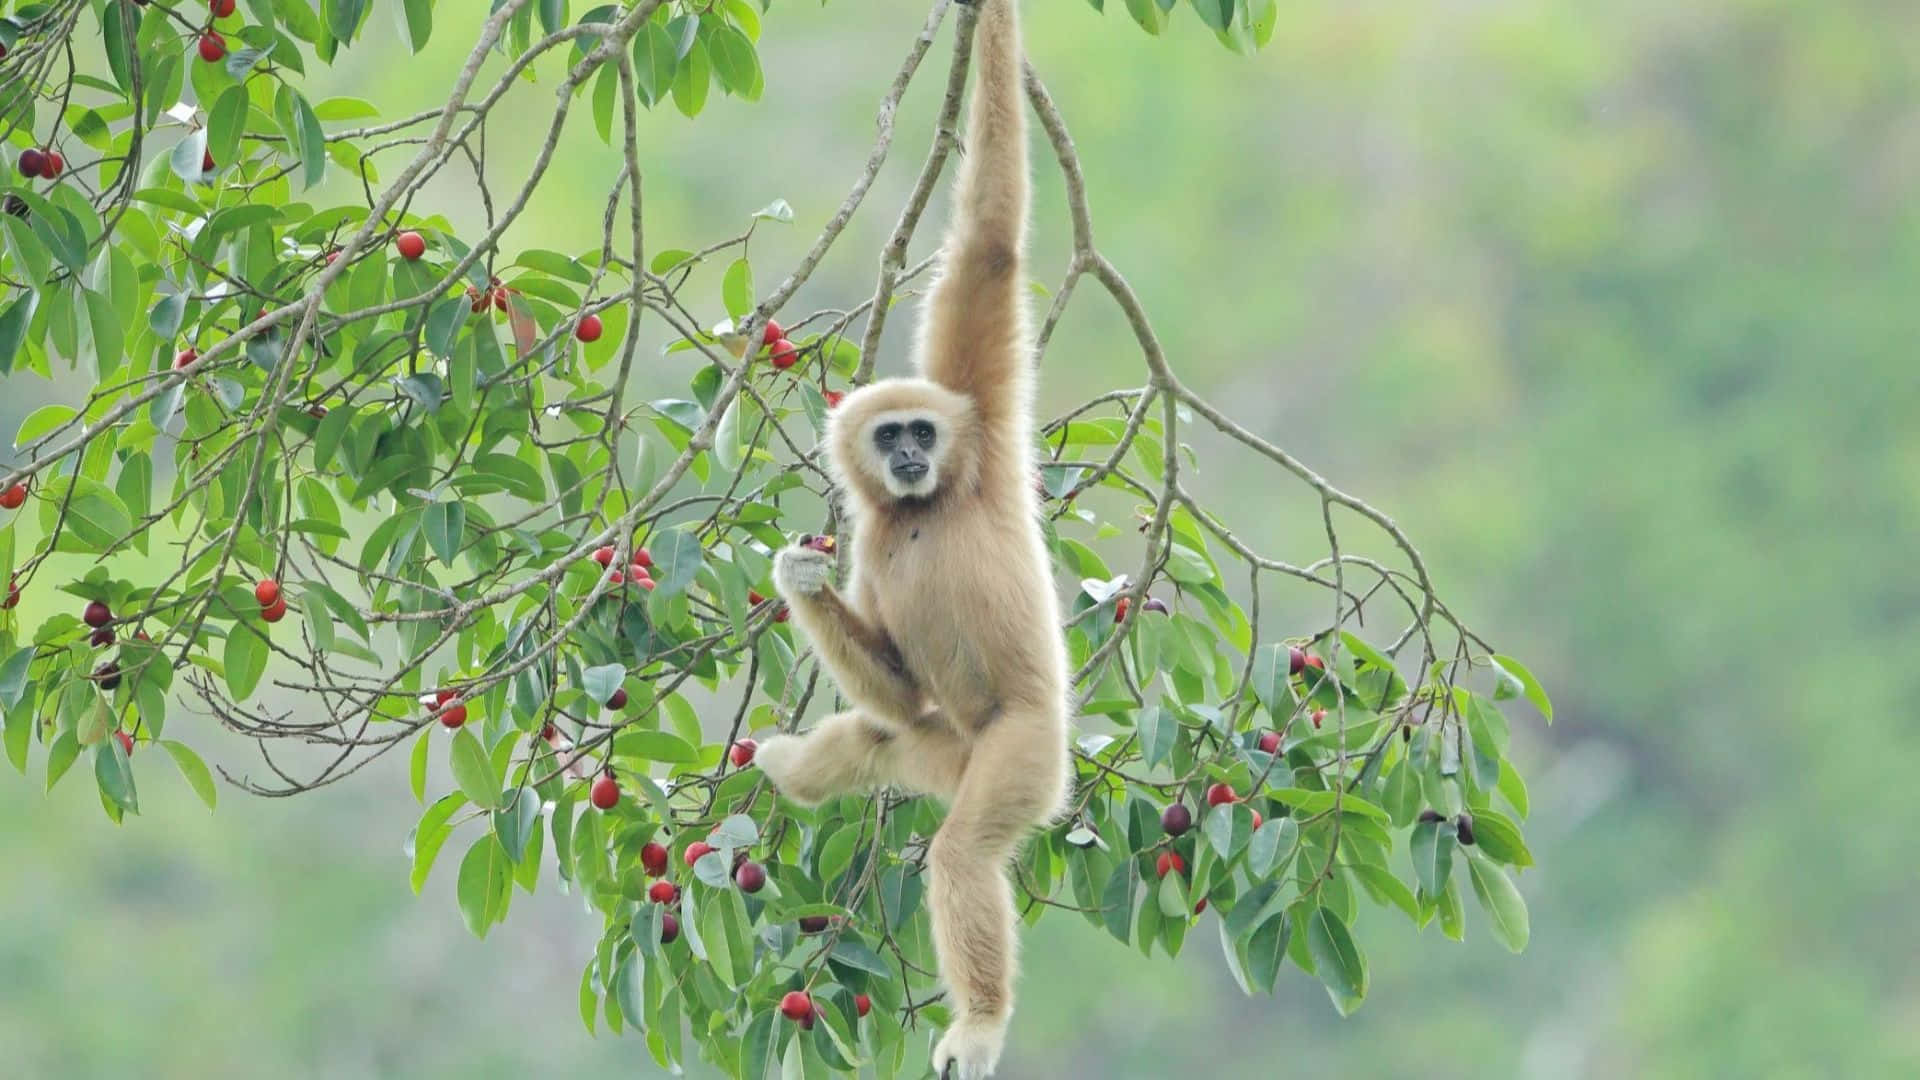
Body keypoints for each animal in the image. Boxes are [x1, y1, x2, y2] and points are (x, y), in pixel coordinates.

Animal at [752, 2, 1064, 1077]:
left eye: (921, 431)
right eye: (889, 438)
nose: (912, 457)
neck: (921, 510)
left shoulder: (979, 422)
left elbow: (990, 241)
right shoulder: (871, 537)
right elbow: (889, 679)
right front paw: (796, 579)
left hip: (1021, 751)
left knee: (964, 853)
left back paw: (980, 1022)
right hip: (946, 754)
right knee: (883, 731)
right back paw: (793, 771)